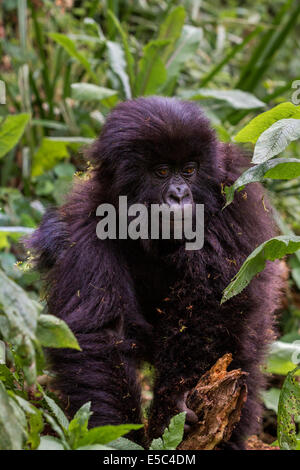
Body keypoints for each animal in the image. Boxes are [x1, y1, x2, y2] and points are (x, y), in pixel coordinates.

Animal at [29, 96, 282, 452]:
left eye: (189, 170)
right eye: (161, 172)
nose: (179, 195)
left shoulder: (232, 193)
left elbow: (211, 307)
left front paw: (174, 405)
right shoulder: (83, 219)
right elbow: (101, 333)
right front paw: (120, 438)